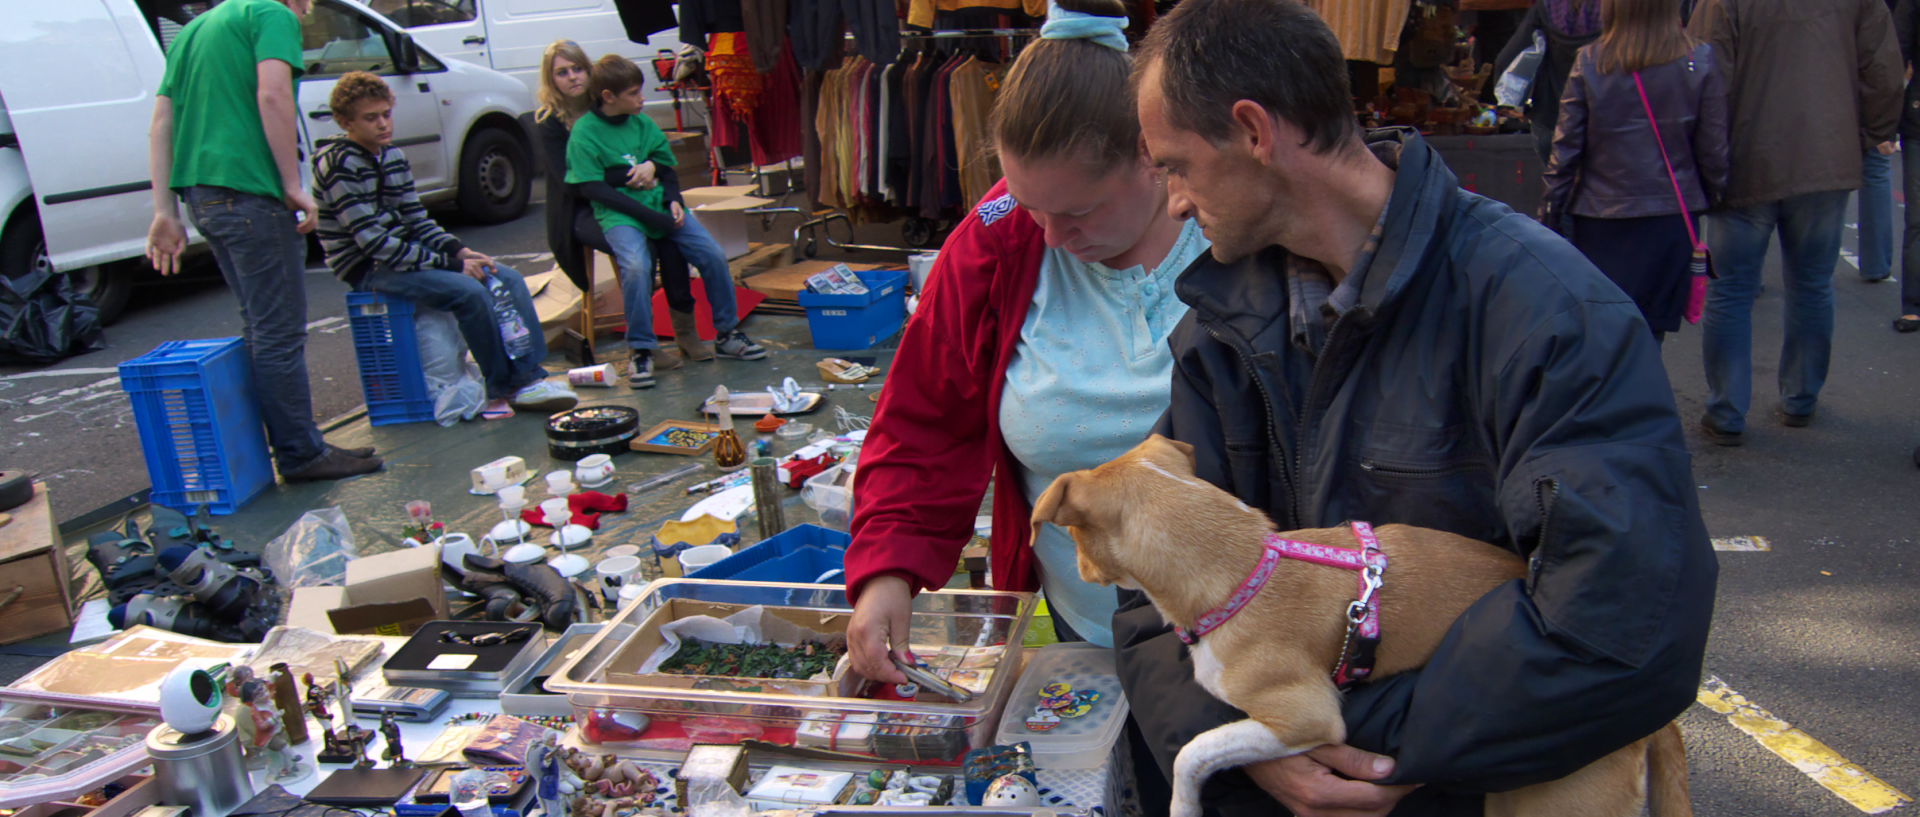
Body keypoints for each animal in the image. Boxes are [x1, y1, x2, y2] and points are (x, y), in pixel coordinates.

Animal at [1036, 433, 1681, 817]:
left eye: (1072, 532)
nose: (1080, 569)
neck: (1245, 567)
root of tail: (1657, 726)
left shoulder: (1308, 718)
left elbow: (1195, 751)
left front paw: (1185, 806)